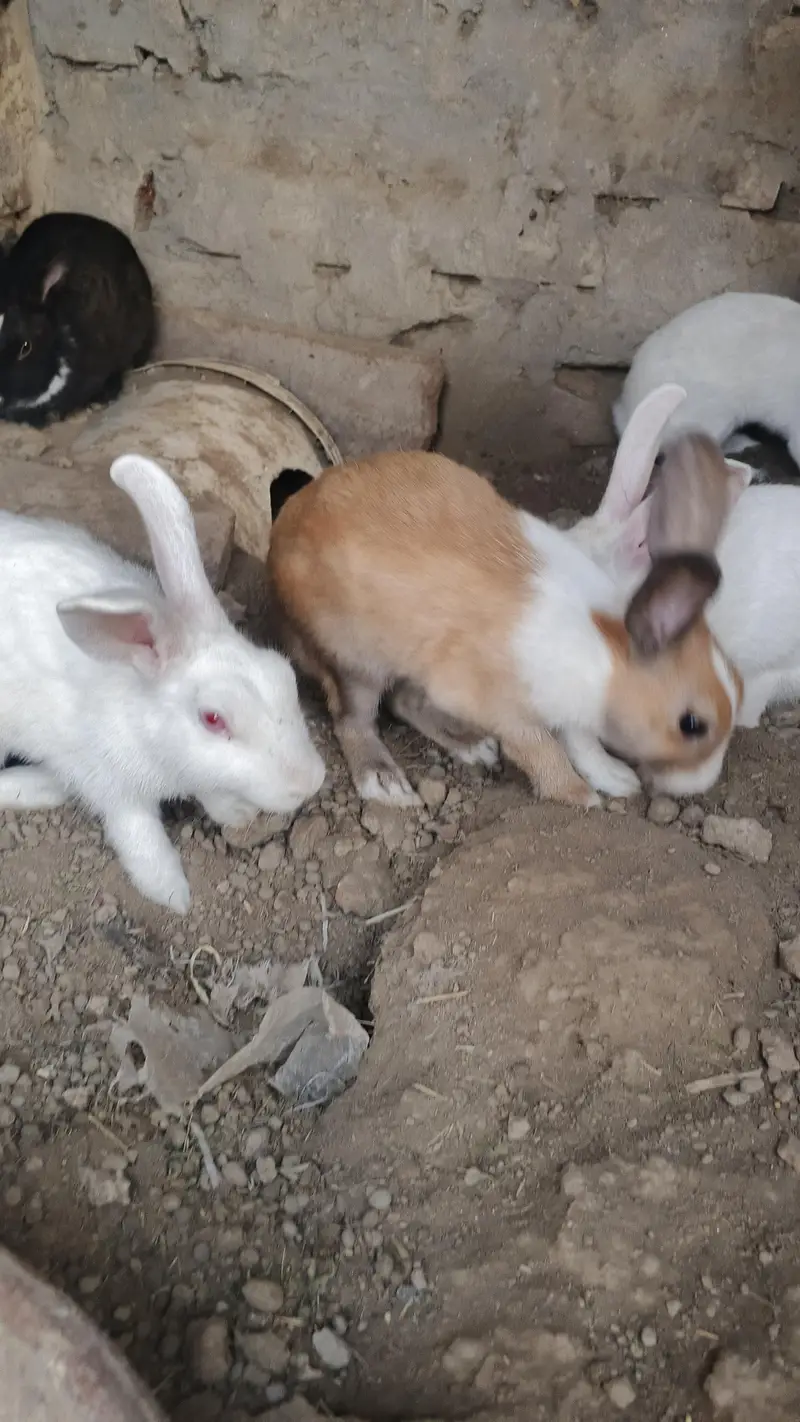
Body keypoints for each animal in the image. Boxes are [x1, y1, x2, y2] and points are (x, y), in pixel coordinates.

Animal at [0, 454, 326, 913]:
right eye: (212, 718)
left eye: (285, 675)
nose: (309, 782)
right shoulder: (114, 790)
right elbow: (140, 837)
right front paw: (172, 893)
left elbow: (209, 792)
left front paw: (235, 813)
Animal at [266, 446, 740, 810]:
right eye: (692, 724)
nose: (702, 783)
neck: (604, 650)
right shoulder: (504, 707)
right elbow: (540, 747)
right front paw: (579, 794)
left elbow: (582, 741)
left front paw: (615, 778)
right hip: (354, 661)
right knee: (354, 720)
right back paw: (385, 782)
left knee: (403, 701)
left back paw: (471, 745)